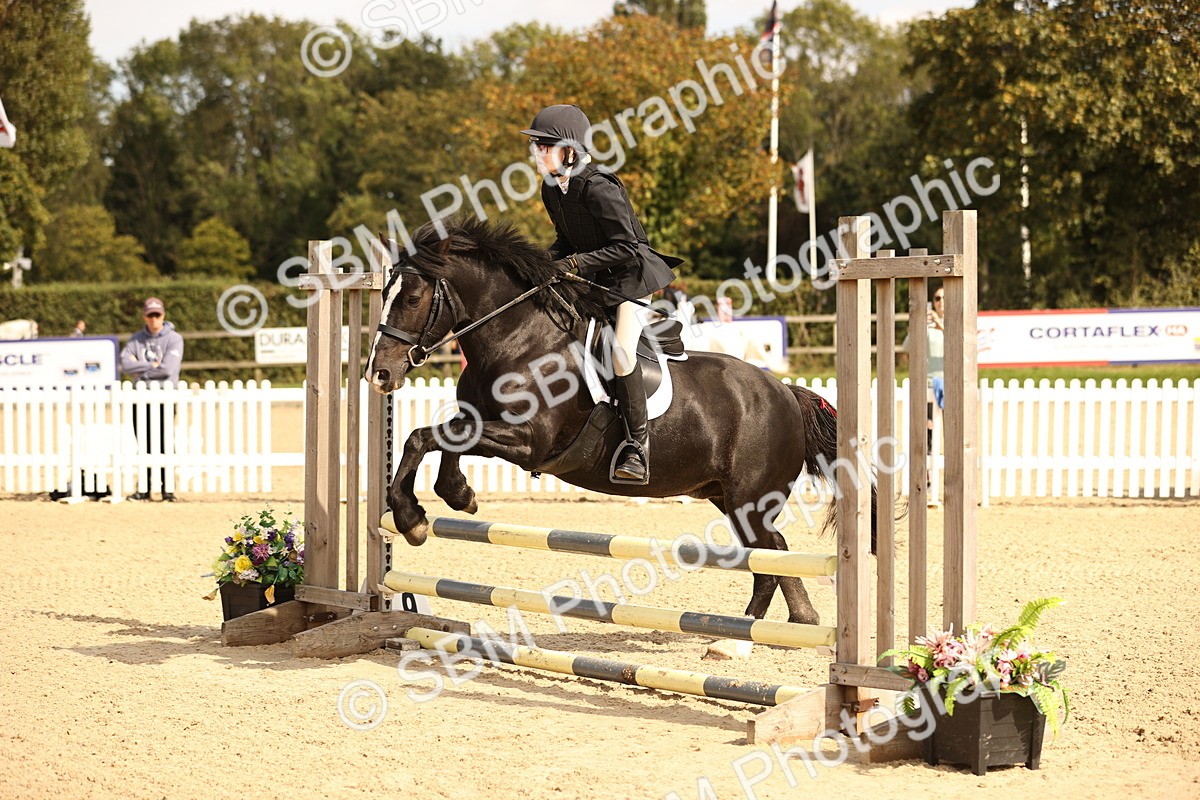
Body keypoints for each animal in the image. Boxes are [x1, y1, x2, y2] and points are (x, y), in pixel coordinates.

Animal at [366, 217, 877, 634]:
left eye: (412, 298)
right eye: (385, 295)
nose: (379, 375)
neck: (518, 338)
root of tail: (785, 391)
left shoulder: (529, 442)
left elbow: (425, 437)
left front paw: (413, 518)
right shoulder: (482, 422)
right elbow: (434, 439)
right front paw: (452, 498)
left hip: (749, 497)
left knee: (768, 555)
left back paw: (739, 636)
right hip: (726, 496)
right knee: (775, 549)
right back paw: (792, 621)